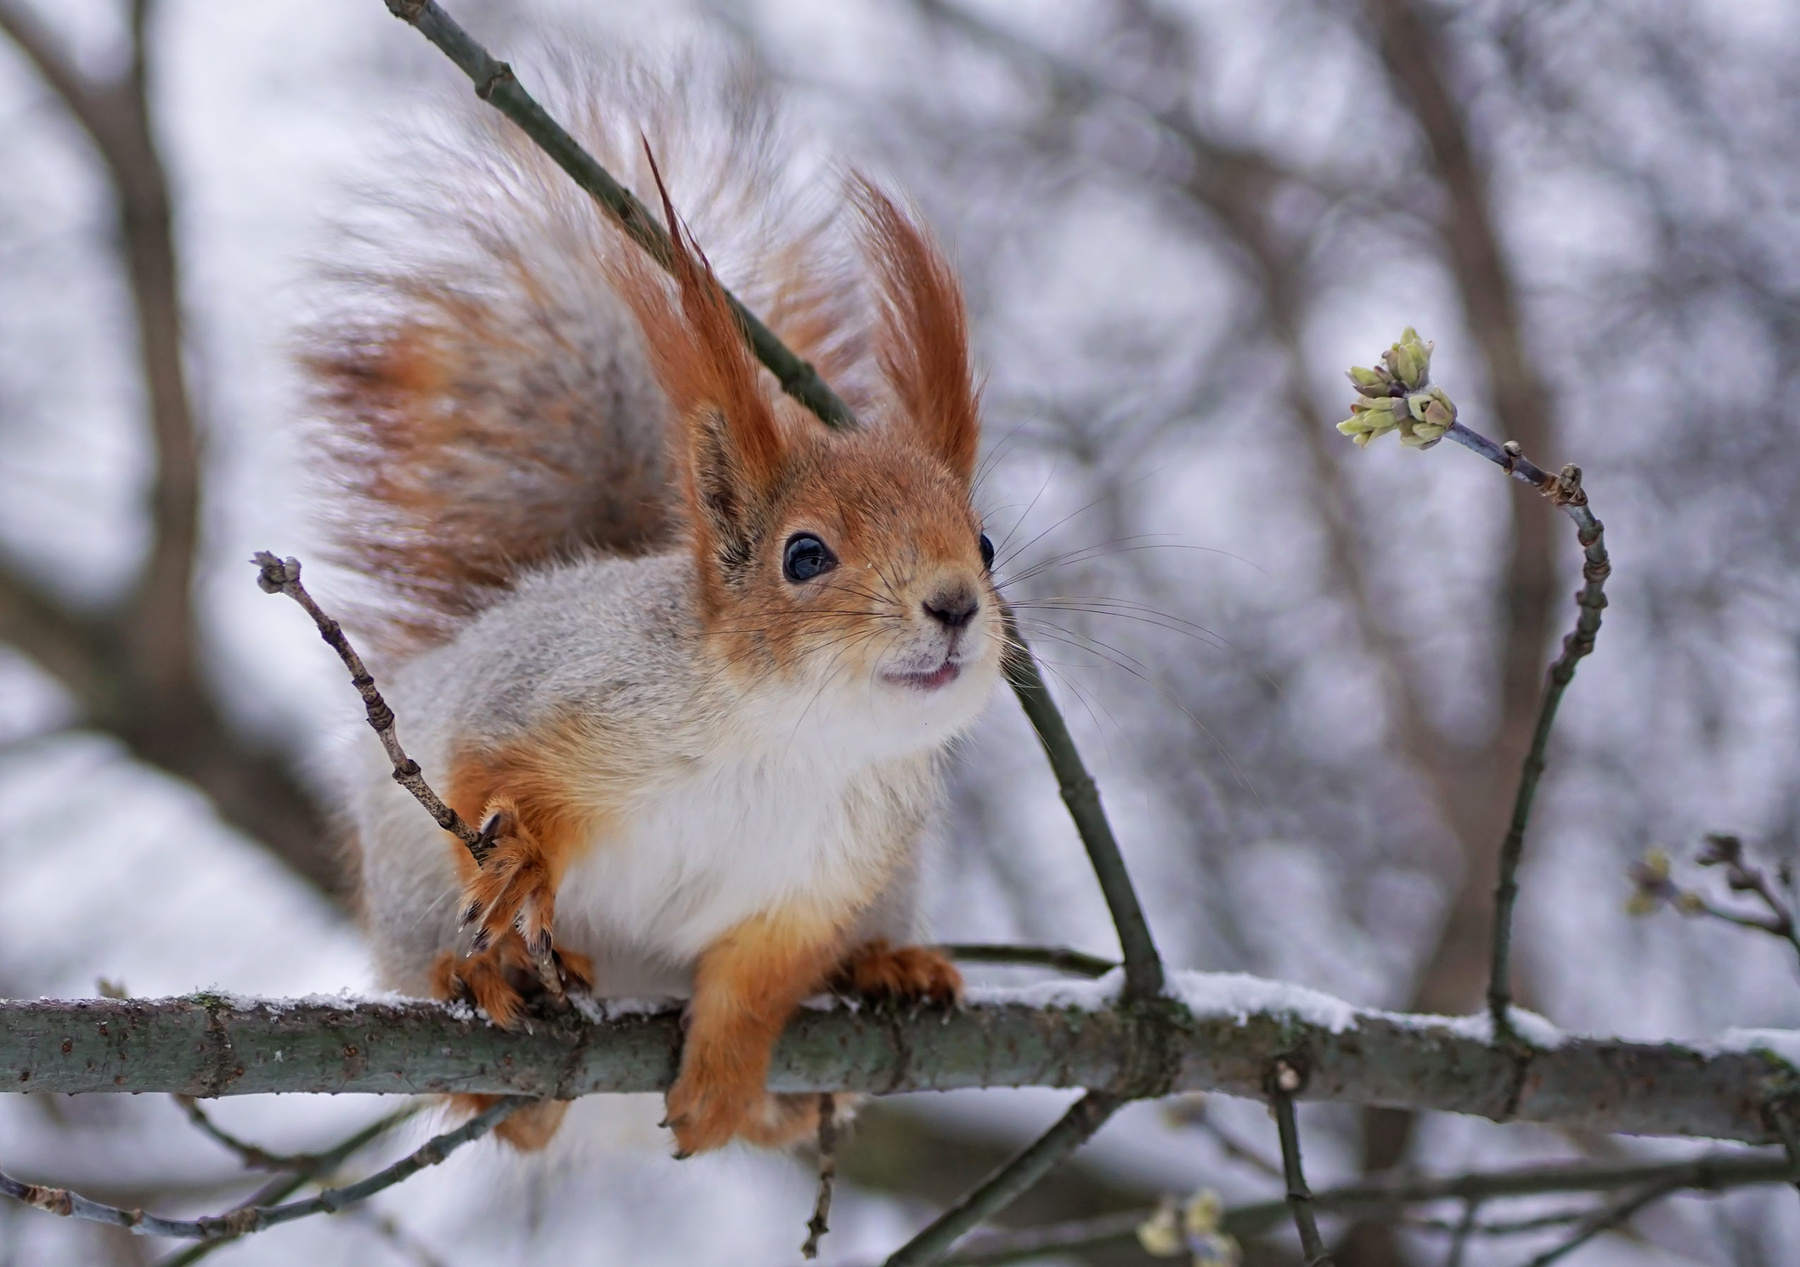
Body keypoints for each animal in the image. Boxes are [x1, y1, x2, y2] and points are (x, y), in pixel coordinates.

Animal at [305, 60, 1002, 1155]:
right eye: (805, 554)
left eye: (986, 544)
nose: (956, 604)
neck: (793, 735)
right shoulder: (559, 686)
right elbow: (488, 761)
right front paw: (522, 862)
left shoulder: (824, 880)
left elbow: (758, 983)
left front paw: (723, 1073)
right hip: (410, 892)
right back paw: (481, 975)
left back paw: (882, 971)